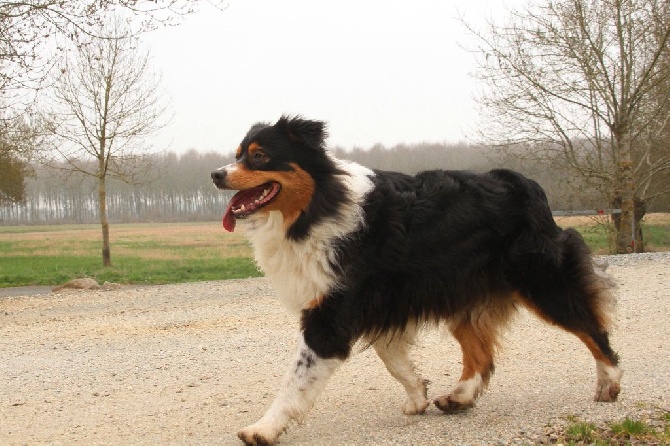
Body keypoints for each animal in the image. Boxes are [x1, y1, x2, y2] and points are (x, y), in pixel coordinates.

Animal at [211, 116, 624, 446]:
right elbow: (392, 356)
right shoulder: (380, 301)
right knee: (481, 355)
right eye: (238, 154)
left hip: (542, 281)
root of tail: (524, 183)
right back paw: (459, 396)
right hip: (463, 292)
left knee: (592, 327)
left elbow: (296, 379)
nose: (216, 175)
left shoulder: (333, 311)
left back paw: (609, 382)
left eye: (259, 156)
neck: (315, 207)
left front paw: (263, 429)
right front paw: (418, 395)